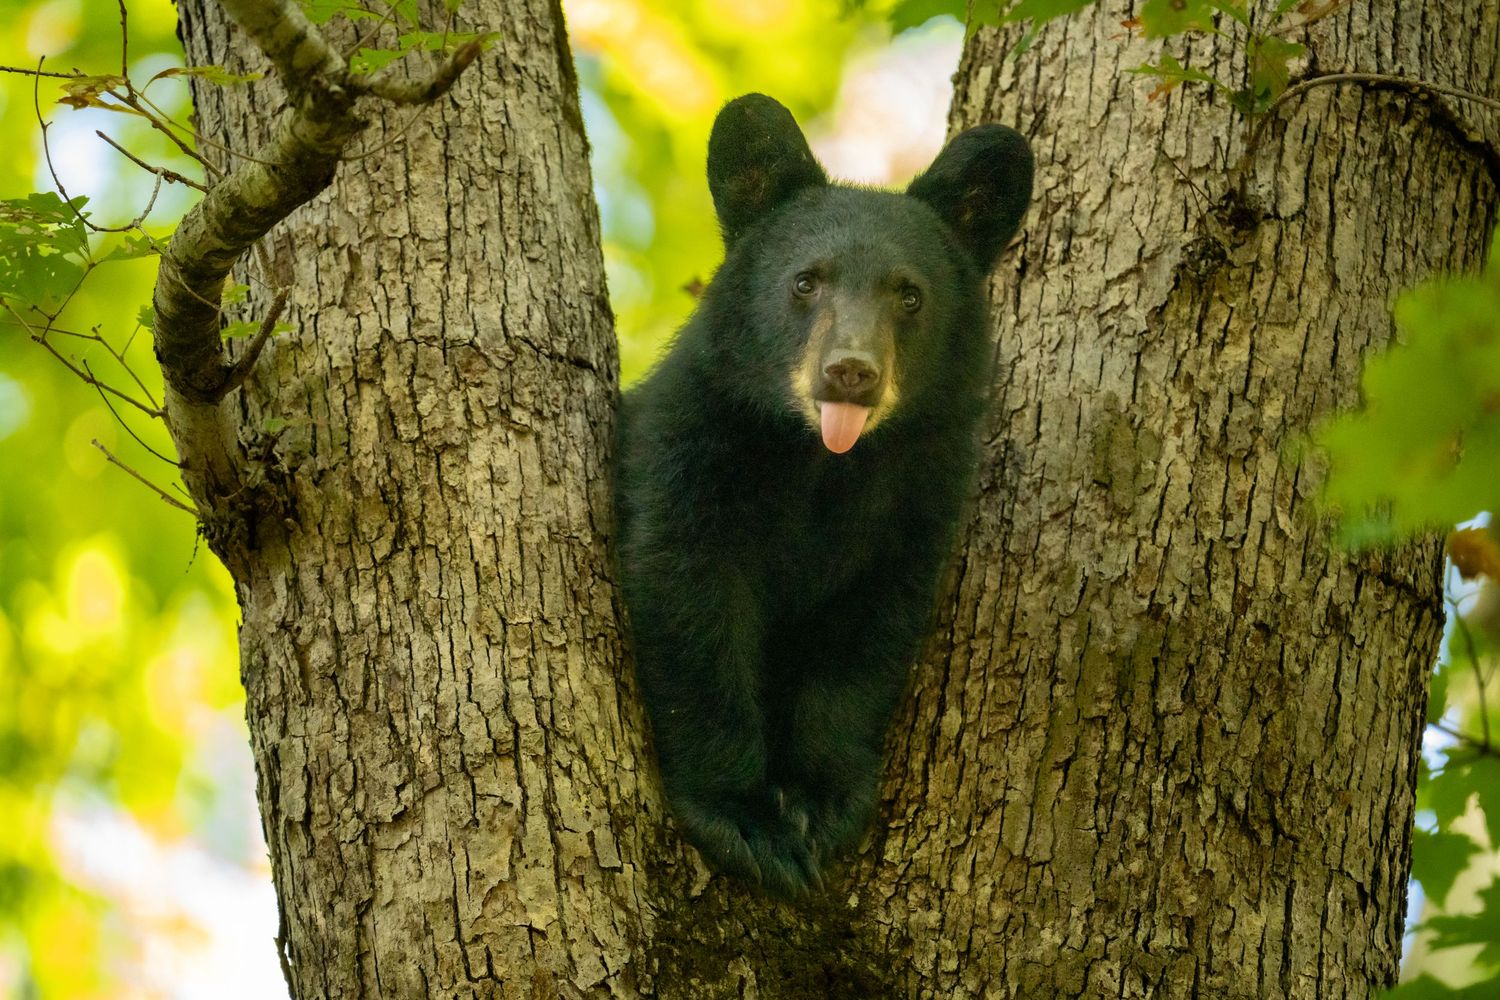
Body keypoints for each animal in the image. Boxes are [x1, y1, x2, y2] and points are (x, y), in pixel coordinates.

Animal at [614, 93, 1034, 896]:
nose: (851, 371)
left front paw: (820, 801)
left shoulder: (920, 493)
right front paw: (745, 817)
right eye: (807, 281)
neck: (822, 462)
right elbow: (689, 600)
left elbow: (866, 637)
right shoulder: (691, 447)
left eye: (910, 295)